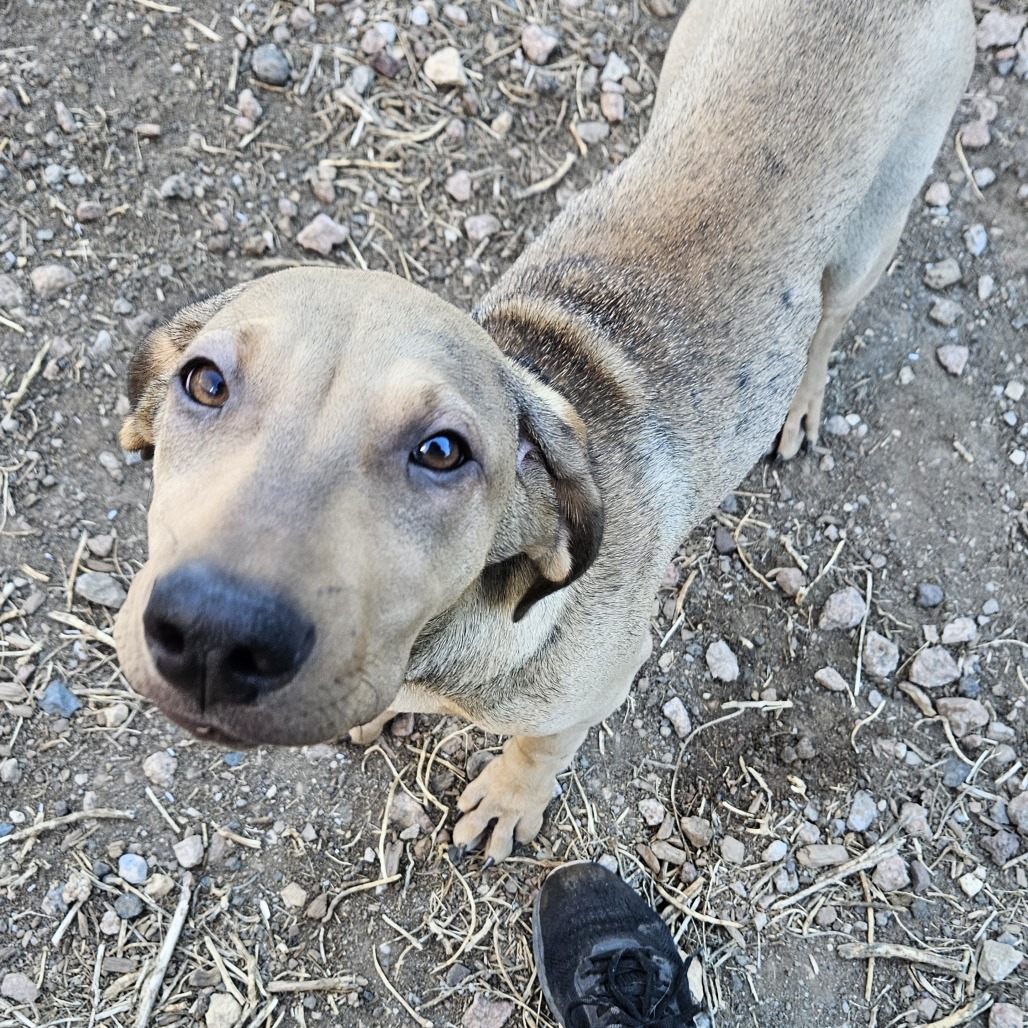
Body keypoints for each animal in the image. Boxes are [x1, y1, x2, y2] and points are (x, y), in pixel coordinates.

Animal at [116, 0, 974, 859]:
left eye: (442, 452)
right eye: (205, 381)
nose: (214, 635)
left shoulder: (596, 687)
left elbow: (539, 748)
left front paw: (508, 800)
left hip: (872, 231)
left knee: (829, 322)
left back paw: (800, 402)